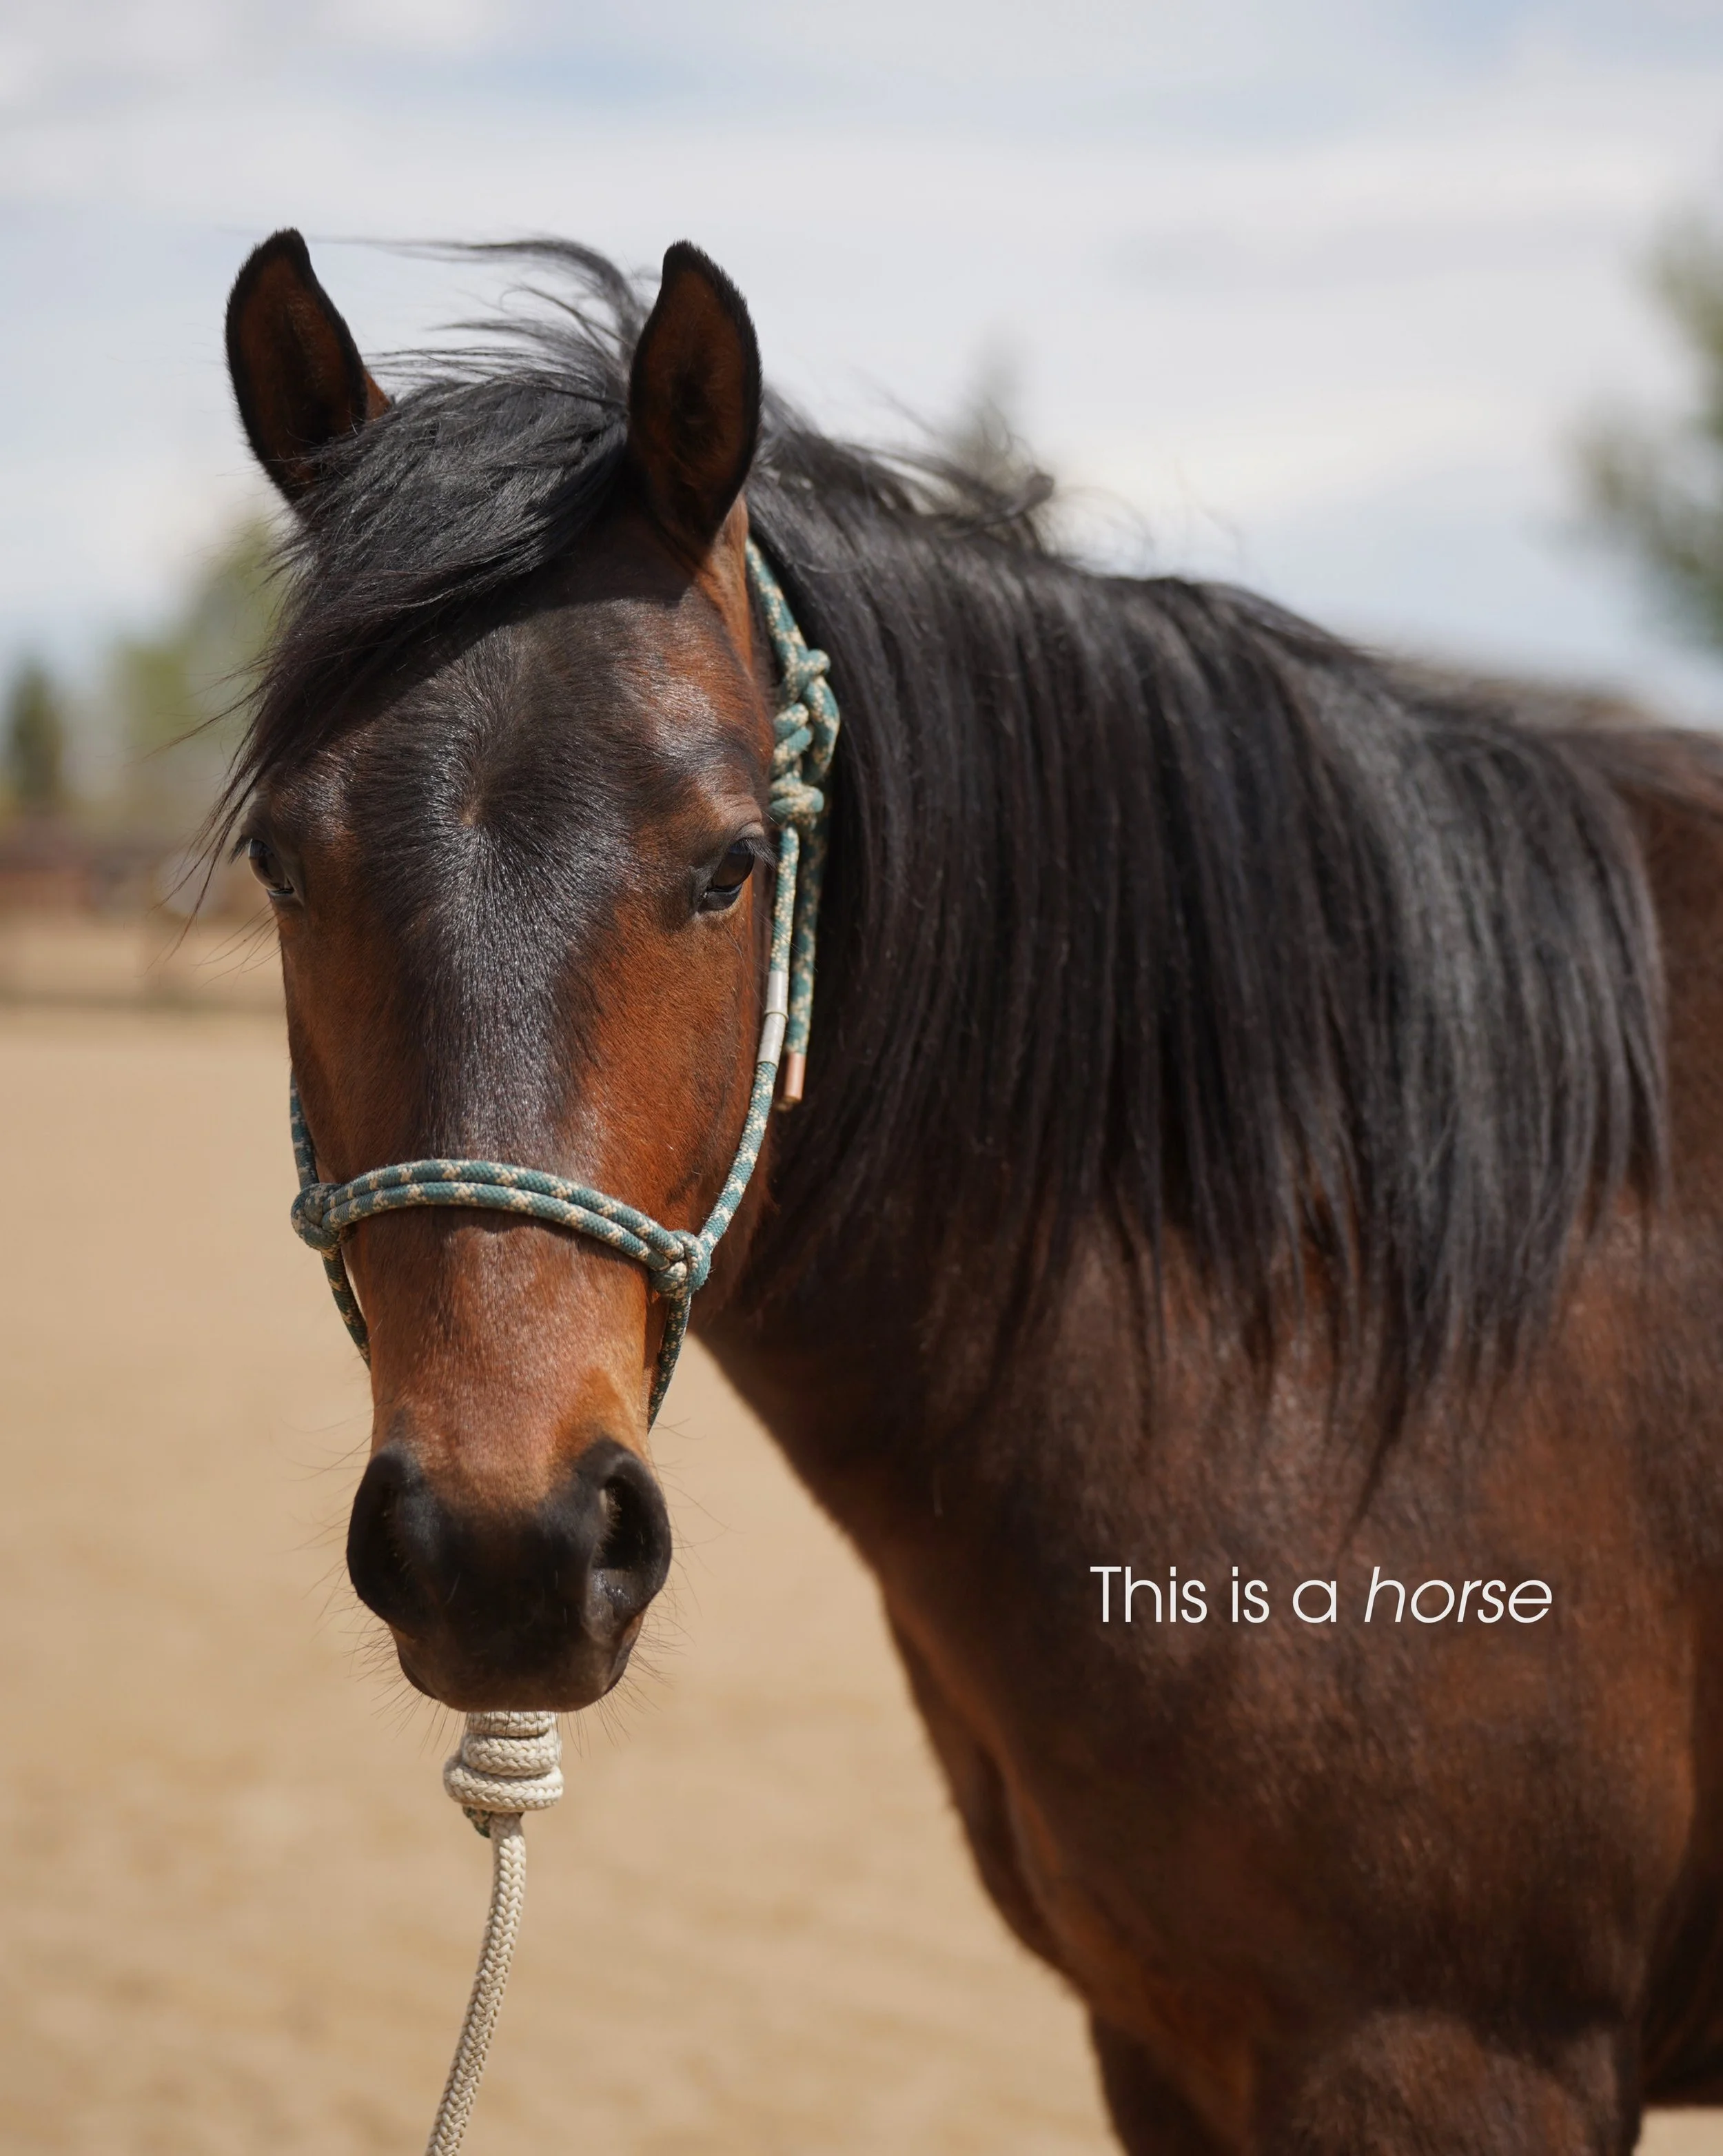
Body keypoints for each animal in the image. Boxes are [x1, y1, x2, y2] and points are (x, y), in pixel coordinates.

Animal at [220, 226, 1723, 2152]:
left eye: (731, 864)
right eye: (285, 862)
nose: (502, 1551)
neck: (1336, 1310)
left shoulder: (1451, 2050)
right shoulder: (1162, 2035)